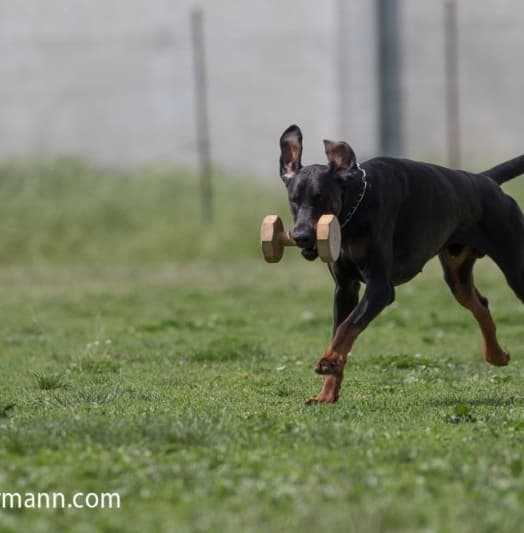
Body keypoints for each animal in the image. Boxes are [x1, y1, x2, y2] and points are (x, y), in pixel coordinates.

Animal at [280, 122, 524, 402]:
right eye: (294, 200)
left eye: (320, 197)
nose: (300, 236)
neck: (354, 210)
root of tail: (486, 180)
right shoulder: (345, 288)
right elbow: (340, 328)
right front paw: (326, 395)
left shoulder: (380, 288)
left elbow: (347, 327)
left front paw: (329, 360)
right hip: (456, 272)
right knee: (480, 304)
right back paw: (497, 355)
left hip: (516, 267)